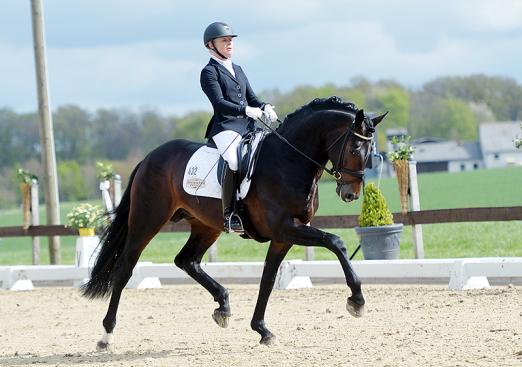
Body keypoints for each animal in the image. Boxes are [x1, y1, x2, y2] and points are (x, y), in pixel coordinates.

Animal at [83, 96, 386, 350]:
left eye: (371, 149)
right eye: (355, 147)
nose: (350, 194)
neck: (289, 160)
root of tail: (149, 157)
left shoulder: (283, 236)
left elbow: (268, 279)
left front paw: (262, 330)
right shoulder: (285, 228)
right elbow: (336, 241)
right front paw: (357, 301)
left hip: (206, 226)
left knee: (186, 261)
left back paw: (223, 306)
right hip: (147, 220)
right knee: (125, 268)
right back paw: (105, 336)